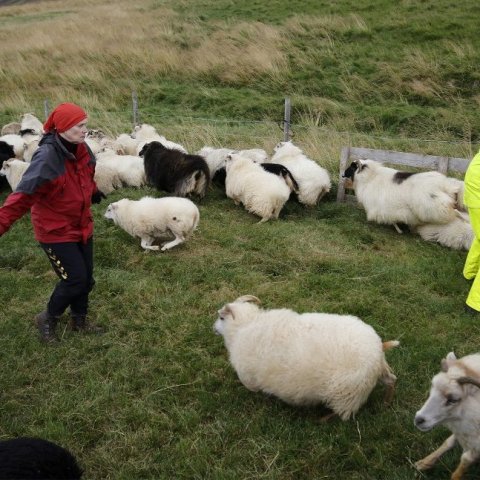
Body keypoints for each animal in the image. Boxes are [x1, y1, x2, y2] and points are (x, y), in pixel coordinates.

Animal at [214, 294, 398, 418]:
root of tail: (378, 347)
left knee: (341, 414)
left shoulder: (248, 379)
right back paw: (386, 404)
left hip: (347, 395)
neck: (244, 326)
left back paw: (323, 419)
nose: (213, 328)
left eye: (221, 317)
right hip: (374, 377)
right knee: (392, 380)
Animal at [412, 350, 480, 478]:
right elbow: (448, 442)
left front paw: (455, 476)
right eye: (432, 388)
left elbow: (465, 460)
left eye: (453, 400)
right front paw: (424, 462)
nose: (418, 420)